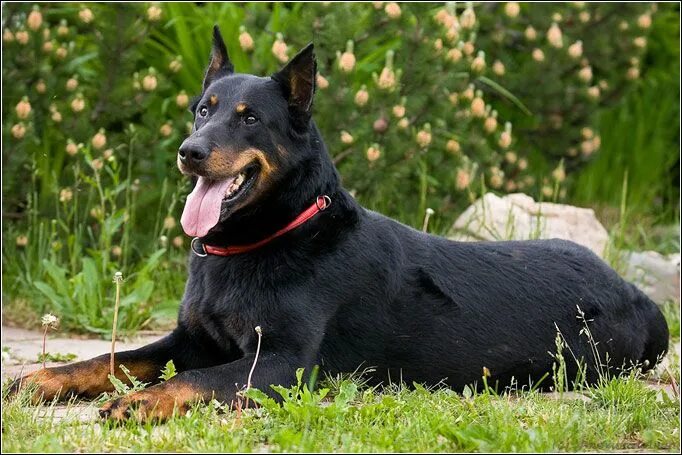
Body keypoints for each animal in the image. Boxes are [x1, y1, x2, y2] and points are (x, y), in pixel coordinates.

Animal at [13, 26, 668, 422]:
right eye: (204, 110)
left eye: (250, 120)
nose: (189, 152)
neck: (271, 237)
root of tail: (641, 296)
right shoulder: (190, 340)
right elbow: (109, 359)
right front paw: (41, 379)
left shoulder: (283, 364)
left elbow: (193, 380)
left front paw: (144, 402)